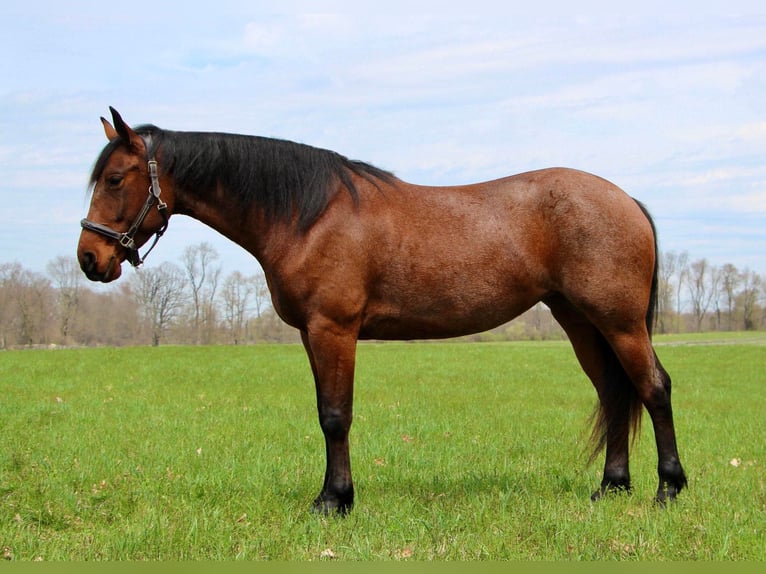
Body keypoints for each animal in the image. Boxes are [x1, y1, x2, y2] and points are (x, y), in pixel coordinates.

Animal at [78, 109, 688, 516]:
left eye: (114, 179)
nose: (90, 258)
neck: (309, 215)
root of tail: (627, 201)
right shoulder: (312, 334)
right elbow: (326, 413)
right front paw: (333, 495)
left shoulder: (334, 329)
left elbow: (335, 415)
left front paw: (335, 502)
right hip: (580, 321)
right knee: (615, 393)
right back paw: (612, 487)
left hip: (618, 322)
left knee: (653, 388)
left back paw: (668, 489)